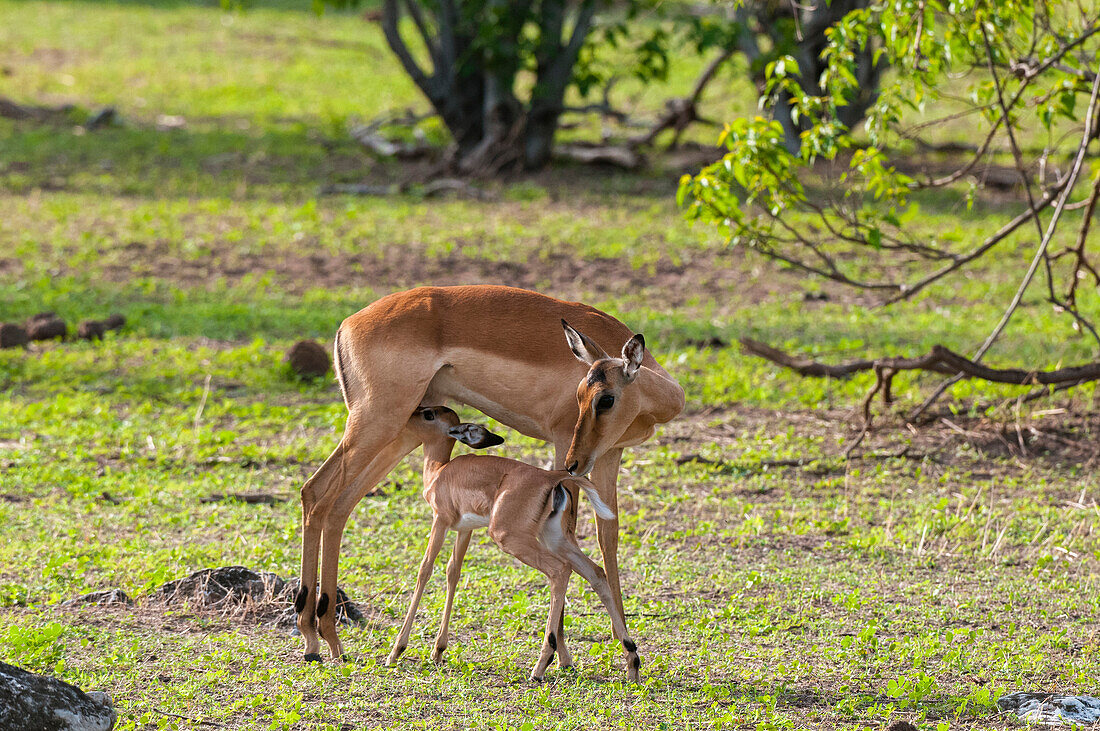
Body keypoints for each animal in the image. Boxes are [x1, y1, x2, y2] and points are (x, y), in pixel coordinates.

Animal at [389, 406, 642, 681]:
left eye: (428, 415)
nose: (408, 416)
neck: (439, 472)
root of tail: (550, 476)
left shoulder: (441, 521)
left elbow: (424, 570)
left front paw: (397, 651)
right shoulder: (464, 530)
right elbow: (453, 572)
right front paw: (438, 651)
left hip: (510, 537)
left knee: (560, 570)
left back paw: (540, 667)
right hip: (555, 539)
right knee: (596, 573)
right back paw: (632, 662)